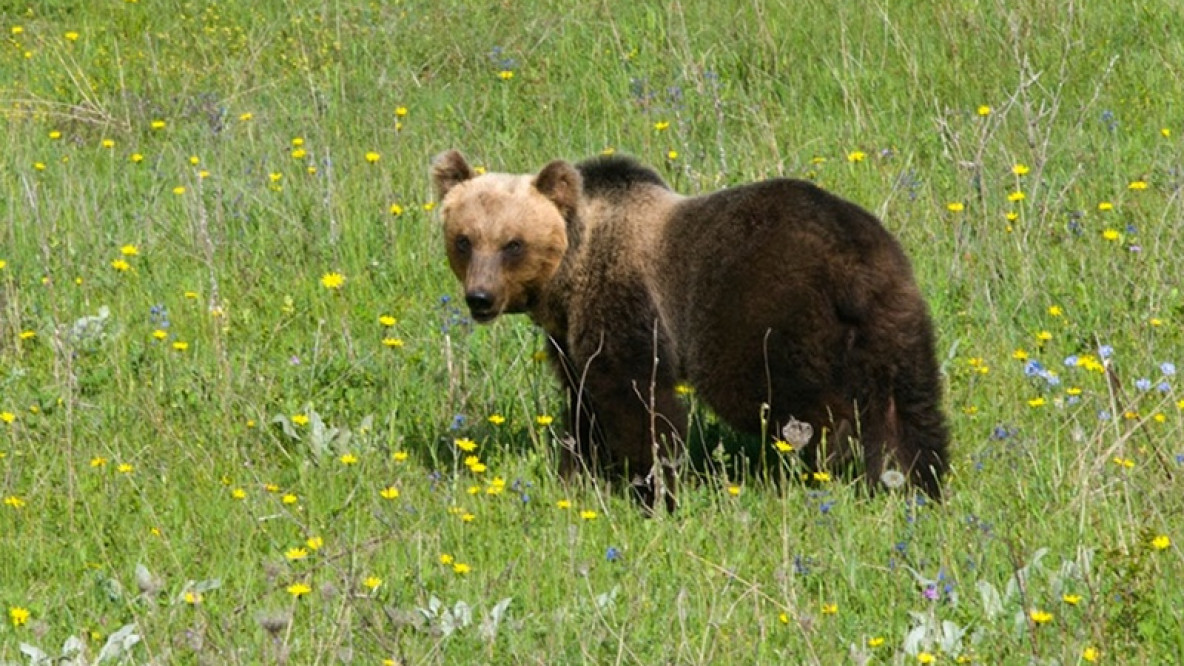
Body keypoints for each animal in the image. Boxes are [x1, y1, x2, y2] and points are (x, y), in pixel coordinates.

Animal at [430, 149, 947, 502]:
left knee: (796, 400)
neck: (570, 273)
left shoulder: (626, 303)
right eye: (464, 240)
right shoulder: (569, 338)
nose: (480, 298)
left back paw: (830, 465)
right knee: (909, 406)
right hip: (893, 314)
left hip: (763, 315)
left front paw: (652, 486)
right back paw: (917, 480)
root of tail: (854, 264)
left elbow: (637, 399)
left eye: (513, 243)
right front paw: (578, 473)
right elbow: (582, 404)